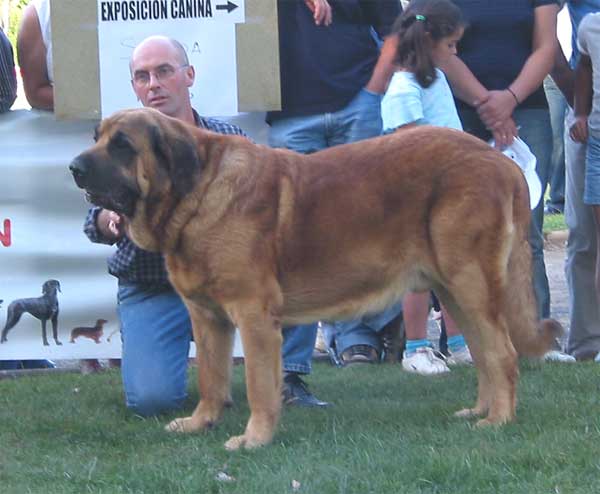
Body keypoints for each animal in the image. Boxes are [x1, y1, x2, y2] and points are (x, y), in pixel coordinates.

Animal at [70, 110, 564, 450]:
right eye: (97, 138)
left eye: (123, 145)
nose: (74, 167)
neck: (194, 192)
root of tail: (502, 163)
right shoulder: (208, 319)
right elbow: (211, 378)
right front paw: (200, 423)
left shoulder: (253, 317)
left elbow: (258, 385)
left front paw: (254, 439)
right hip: (455, 289)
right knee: (484, 355)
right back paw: (479, 409)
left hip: (470, 283)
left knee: (502, 354)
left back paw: (498, 420)